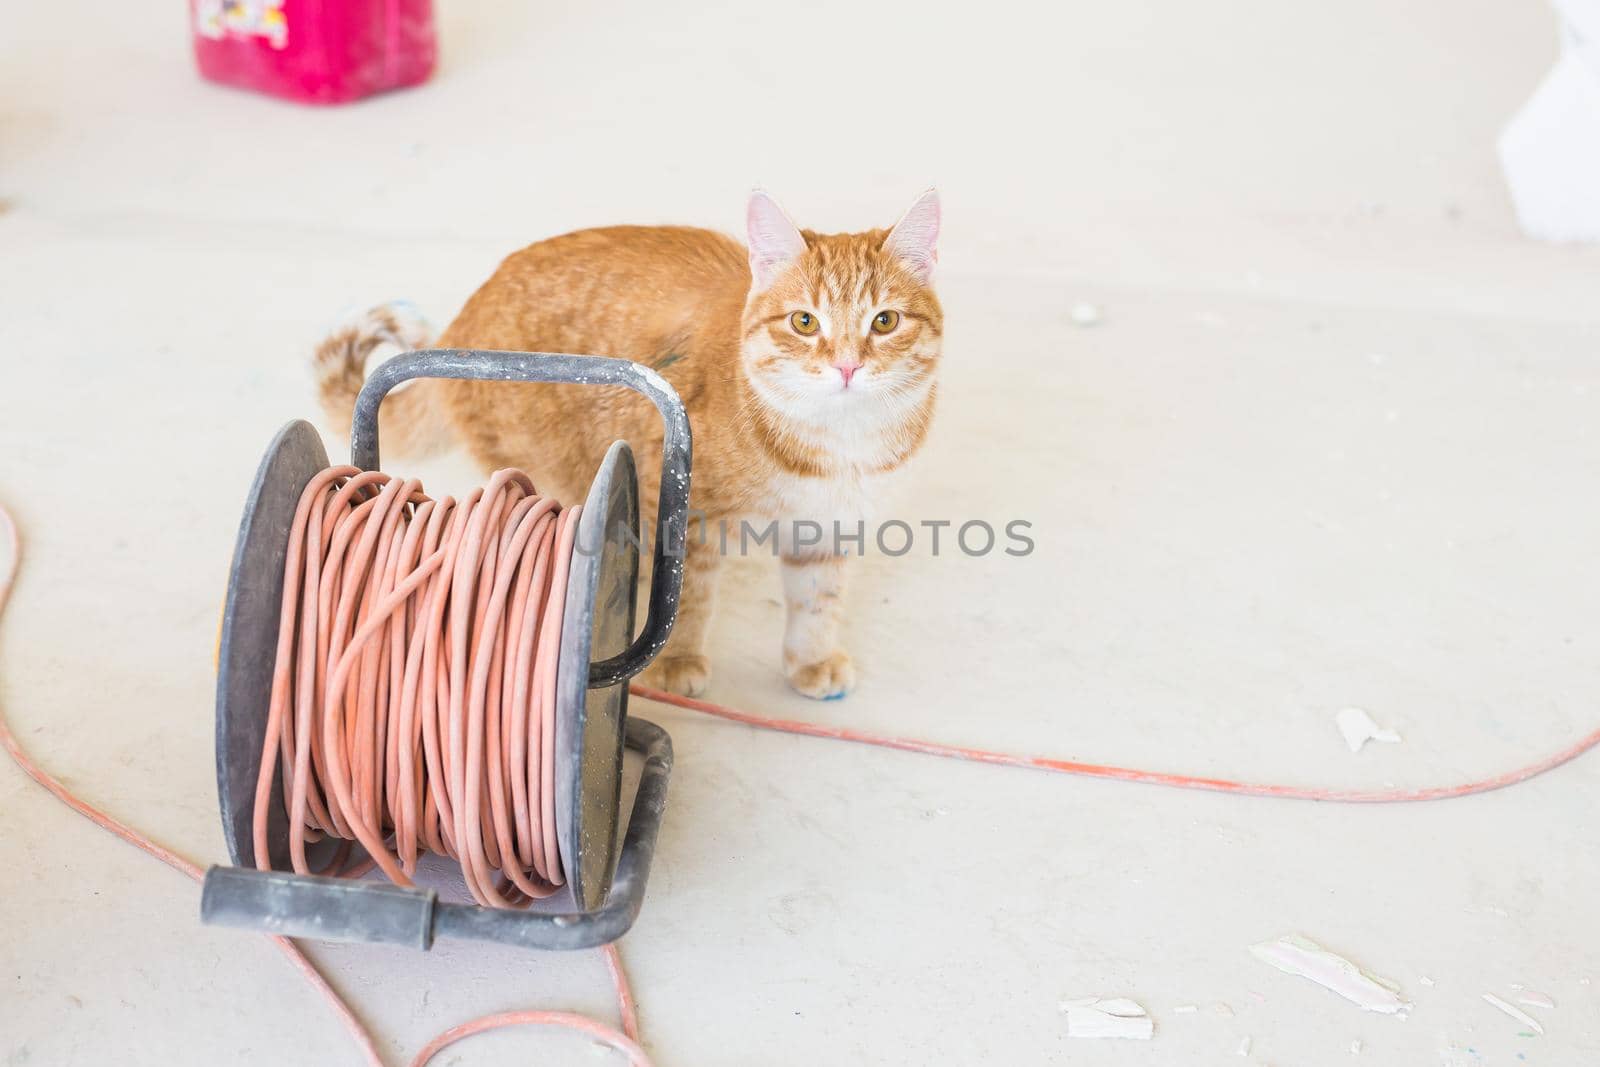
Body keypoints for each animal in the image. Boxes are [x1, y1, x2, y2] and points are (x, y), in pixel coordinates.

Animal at [310, 191, 934, 700]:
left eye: (884, 321)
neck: (837, 441)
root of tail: (464, 319)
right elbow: (685, 596)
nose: (848, 366)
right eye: (805, 322)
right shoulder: (682, 511)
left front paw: (811, 660)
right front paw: (678, 660)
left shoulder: (826, 528)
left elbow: (817, 601)